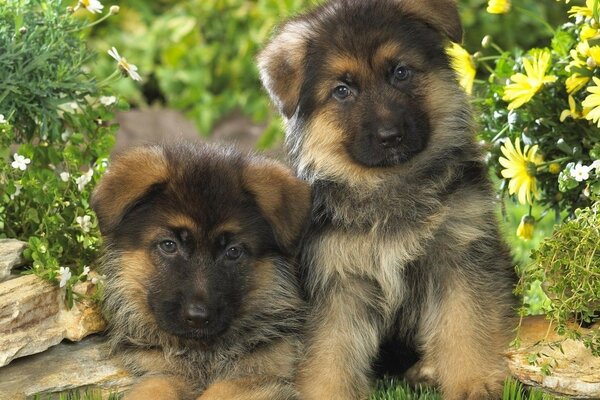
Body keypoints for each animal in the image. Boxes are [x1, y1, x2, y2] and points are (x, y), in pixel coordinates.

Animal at [92, 144, 314, 400]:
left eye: (233, 251)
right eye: (169, 245)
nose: (198, 317)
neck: (202, 353)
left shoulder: (259, 377)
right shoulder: (163, 372)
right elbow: (154, 388)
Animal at [258, 0, 516, 400]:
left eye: (400, 72)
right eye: (342, 91)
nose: (390, 136)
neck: (389, 185)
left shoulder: (460, 256)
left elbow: (465, 325)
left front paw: (473, 383)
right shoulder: (336, 281)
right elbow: (329, 355)